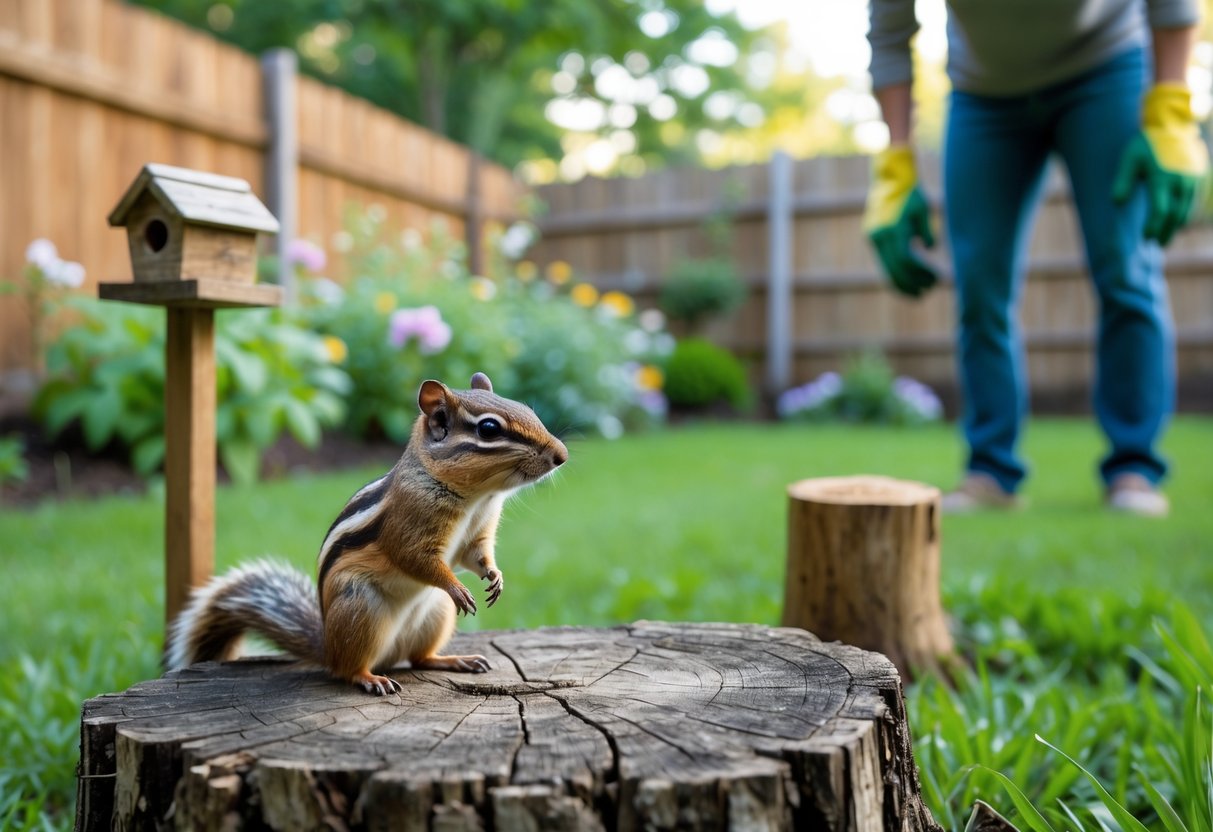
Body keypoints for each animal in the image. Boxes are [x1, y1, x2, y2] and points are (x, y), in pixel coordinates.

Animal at [166, 372, 568, 696]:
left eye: (525, 408)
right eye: (488, 429)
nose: (561, 455)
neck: (478, 498)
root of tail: (327, 646)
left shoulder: (478, 533)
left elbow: (478, 556)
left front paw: (495, 577)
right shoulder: (408, 527)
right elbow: (416, 559)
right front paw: (458, 587)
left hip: (434, 615)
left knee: (419, 658)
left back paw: (455, 660)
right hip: (362, 609)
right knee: (348, 671)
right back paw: (371, 678)